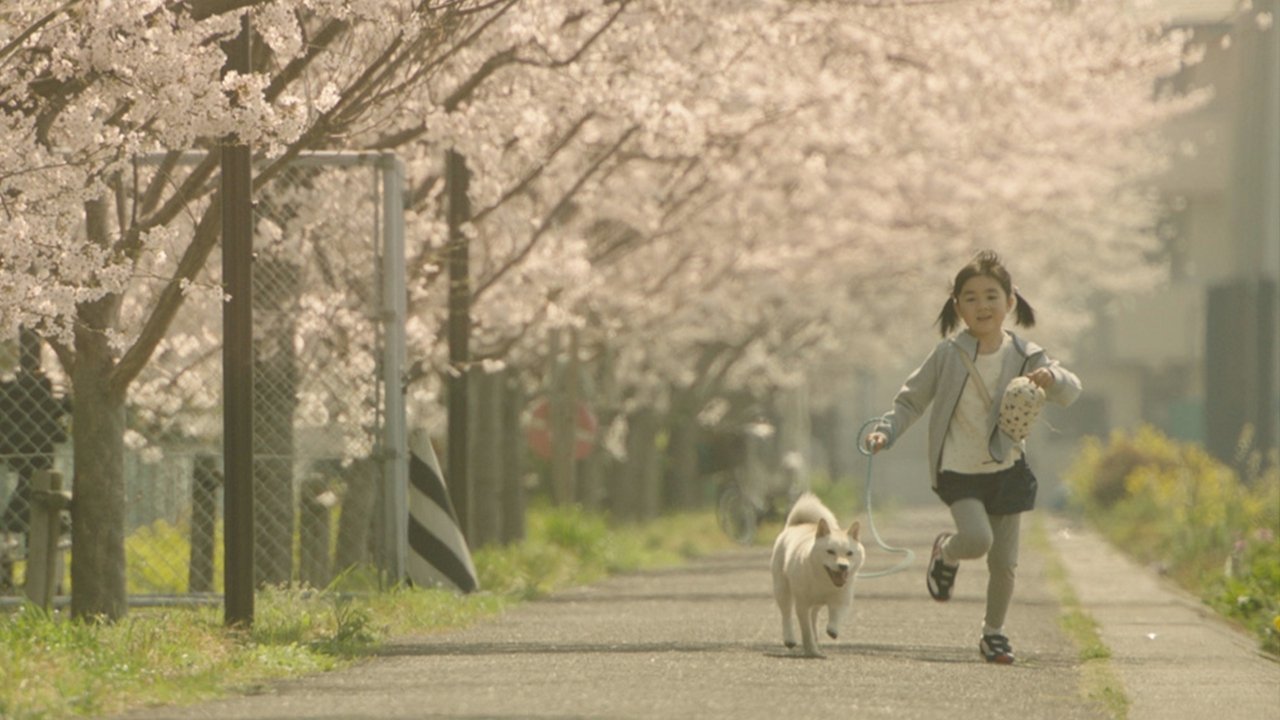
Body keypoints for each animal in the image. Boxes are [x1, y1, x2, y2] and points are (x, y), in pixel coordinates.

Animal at [768, 489, 860, 653]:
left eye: (849, 553)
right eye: (830, 551)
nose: (843, 566)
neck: (823, 581)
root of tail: (797, 525)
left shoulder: (842, 598)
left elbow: (836, 614)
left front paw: (832, 629)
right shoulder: (802, 605)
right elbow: (805, 629)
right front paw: (811, 649)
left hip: (816, 603)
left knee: (814, 614)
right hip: (782, 589)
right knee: (786, 614)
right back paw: (789, 639)